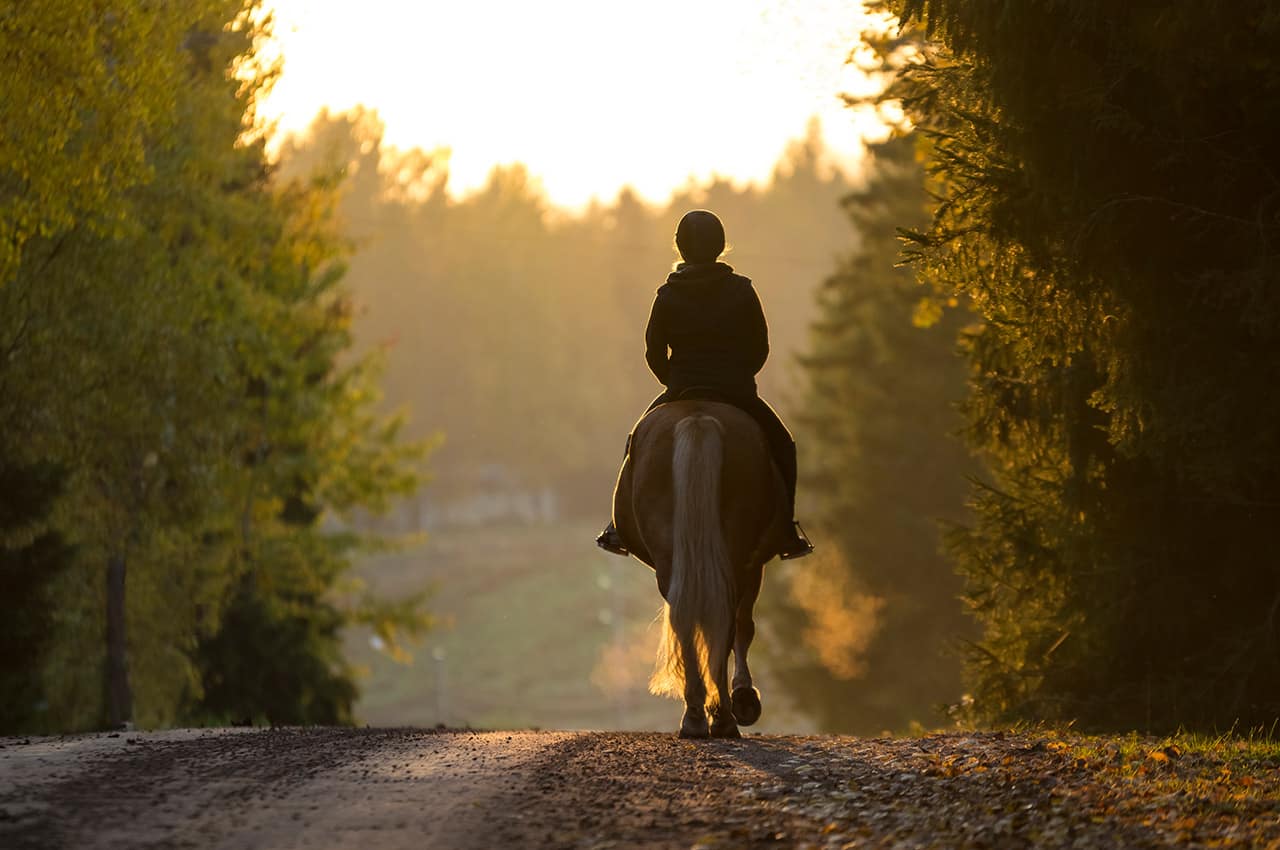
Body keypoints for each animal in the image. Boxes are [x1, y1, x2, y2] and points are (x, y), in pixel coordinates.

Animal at [611, 399, 788, 737]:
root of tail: (697, 418)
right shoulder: (754, 565)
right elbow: (744, 627)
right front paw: (744, 697)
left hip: (672, 555)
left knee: (685, 619)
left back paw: (695, 716)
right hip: (737, 555)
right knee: (726, 622)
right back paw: (723, 717)